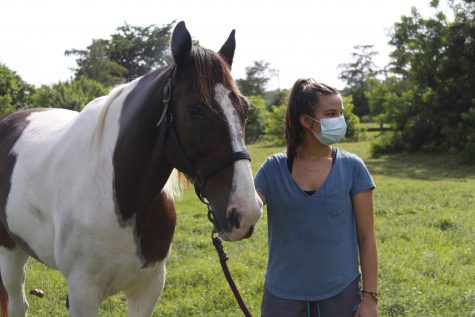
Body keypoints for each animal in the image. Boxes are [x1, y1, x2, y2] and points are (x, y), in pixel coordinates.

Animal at [0, 21, 264, 314]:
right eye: (195, 109)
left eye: (244, 108)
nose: (246, 212)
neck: (122, 197)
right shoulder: (82, 294)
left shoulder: (148, 287)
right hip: (9, 249)